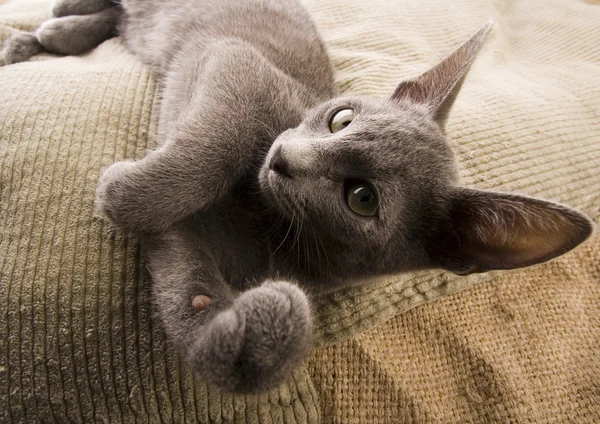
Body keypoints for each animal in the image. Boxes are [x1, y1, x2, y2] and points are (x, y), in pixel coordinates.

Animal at [2, 0, 592, 394]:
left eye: (362, 198)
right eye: (341, 118)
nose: (283, 159)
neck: (262, 218)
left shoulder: (200, 247)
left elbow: (186, 291)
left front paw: (247, 330)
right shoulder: (238, 63)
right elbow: (217, 138)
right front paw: (125, 188)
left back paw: (51, 33)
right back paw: (52, 25)